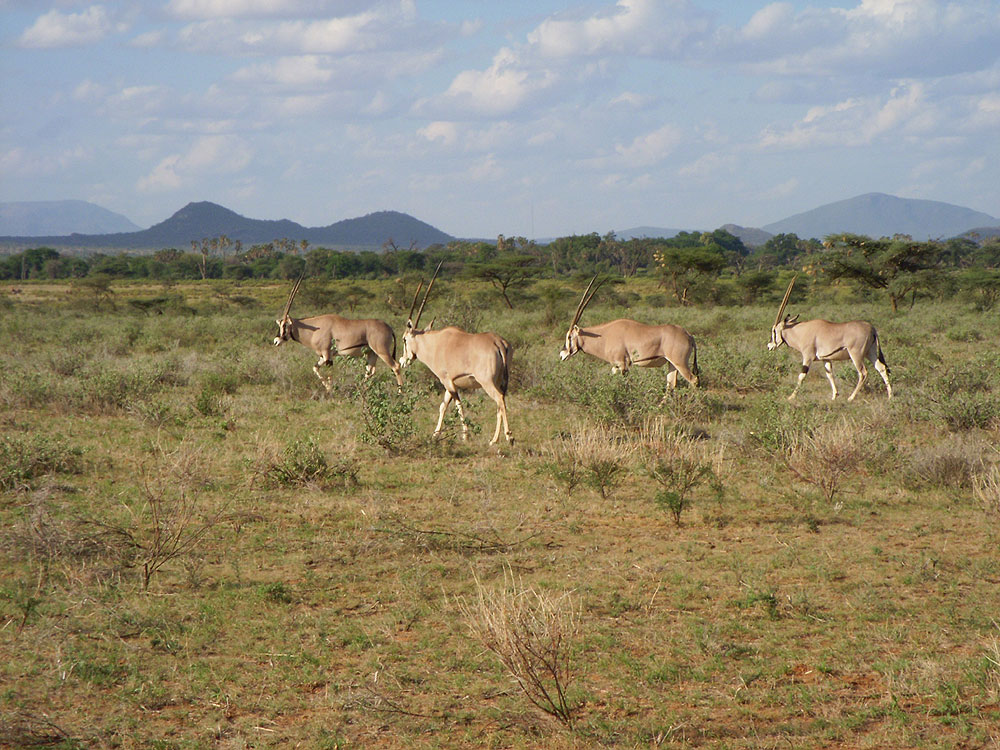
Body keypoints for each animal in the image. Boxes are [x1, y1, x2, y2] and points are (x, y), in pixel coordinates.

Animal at [272, 276, 404, 394]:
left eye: (285, 325)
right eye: (280, 324)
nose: (276, 341)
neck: (315, 328)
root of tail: (389, 328)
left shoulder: (327, 354)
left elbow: (330, 373)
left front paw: (330, 391)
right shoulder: (323, 356)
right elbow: (315, 368)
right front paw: (328, 388)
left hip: (382, 351)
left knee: (396, 366)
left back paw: (400, 392)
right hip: (372, 353)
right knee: (370, 371)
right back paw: (361, 390)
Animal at [396, 262, 512, 444]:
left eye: (404, 339)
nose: (403, 361)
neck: (434, 343)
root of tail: (498, 342)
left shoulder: (447, 381)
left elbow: (458, 404)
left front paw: (465, 435)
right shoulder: (451, 383)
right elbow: (443, 406)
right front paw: (435, 435)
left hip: (487, 382)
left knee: (499, 399)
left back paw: (506, 437)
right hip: (499, 380)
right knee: (501, 402)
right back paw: (495, 439)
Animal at [560, 276, 700, 402]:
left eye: (569, 336)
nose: (562, 354)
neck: (605, 335)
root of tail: (688, 335)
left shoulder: (622, 365)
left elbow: (624, 385)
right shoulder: (616, 367)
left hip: (680, 363)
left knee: (693, 380)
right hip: (671, 363)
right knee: (671, 384)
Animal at [768, 276, 896, 402]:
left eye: (774, 331)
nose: (769, 346)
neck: (800, 331)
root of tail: (871, 328)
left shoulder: (808, 357)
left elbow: (801, 376)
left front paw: (791, 397)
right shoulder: (826, 359)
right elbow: (829, 374)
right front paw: (834, 395)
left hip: (856, 354)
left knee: (863, 373)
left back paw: (851, 398)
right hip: (870, 352)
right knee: (881, 368)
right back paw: (890, 396)